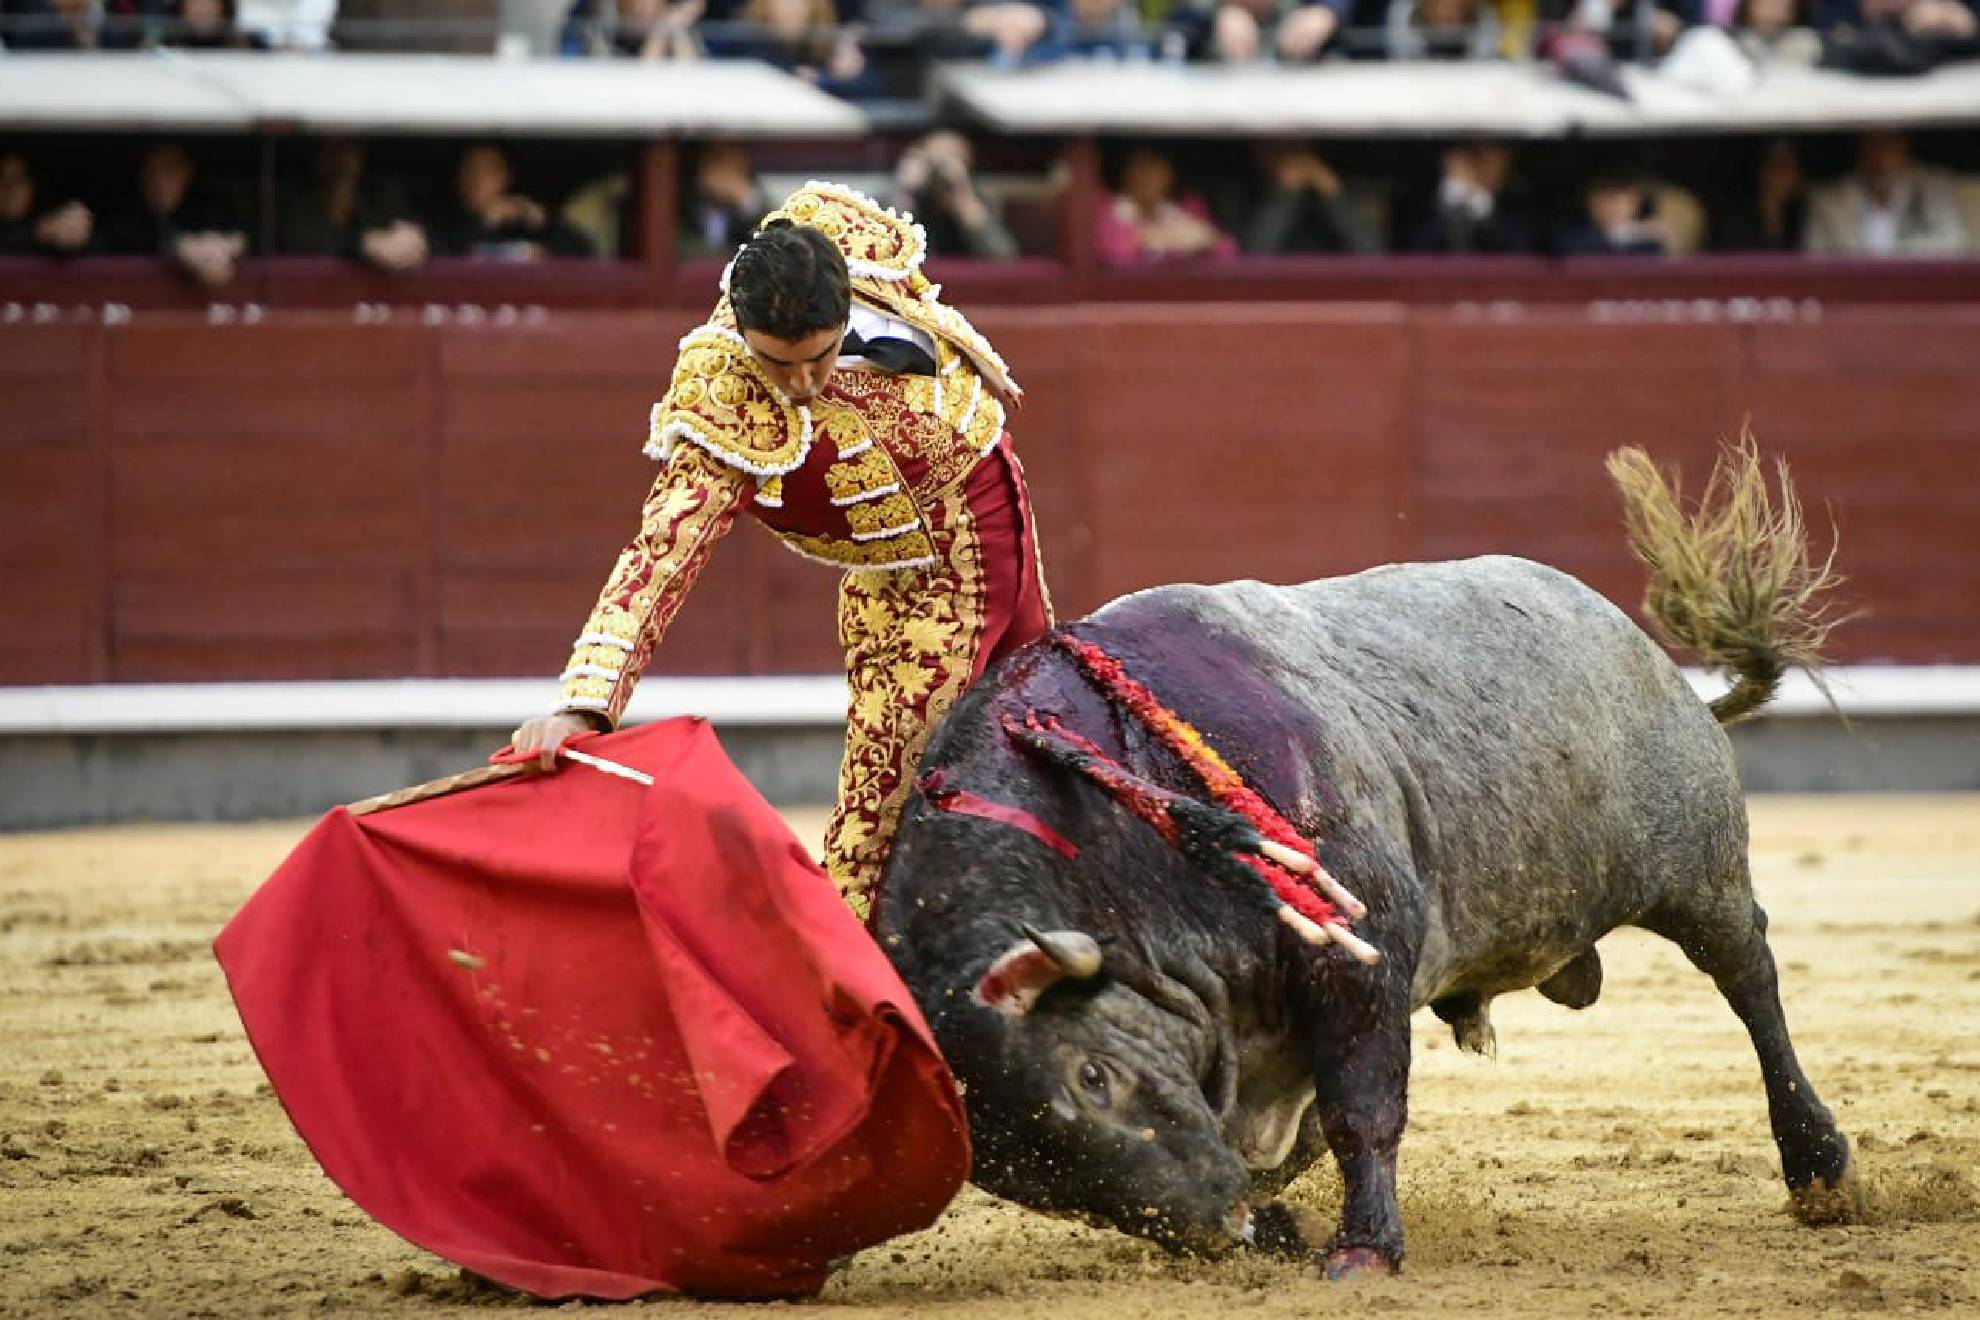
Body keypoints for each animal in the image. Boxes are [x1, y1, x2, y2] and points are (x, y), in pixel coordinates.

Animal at [879, 443, 1853, 1282]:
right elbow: (1292, 1130)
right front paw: (1286, 1225)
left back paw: (1820, 1168)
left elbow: (1361, 1109)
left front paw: (1363, 1250)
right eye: (1022, 1177)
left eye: (1093, 1075)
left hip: (1698, 872)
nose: (1216, 1221)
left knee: (1750, 983)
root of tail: (1654, 660)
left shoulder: (1360, 948)